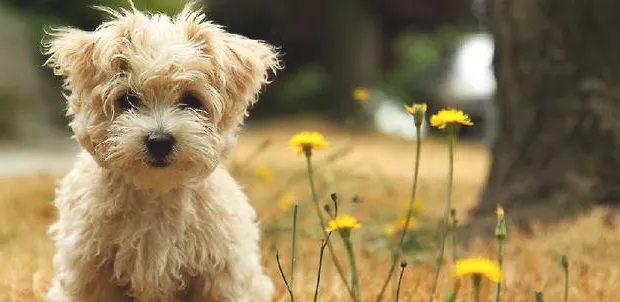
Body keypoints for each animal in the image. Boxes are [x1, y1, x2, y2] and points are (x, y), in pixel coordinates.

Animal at [41, 2, 278, 302]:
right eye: (128, 100)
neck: (155, 192)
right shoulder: (89, 269)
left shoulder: (220, 272)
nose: (160, 141)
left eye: (191, 100)